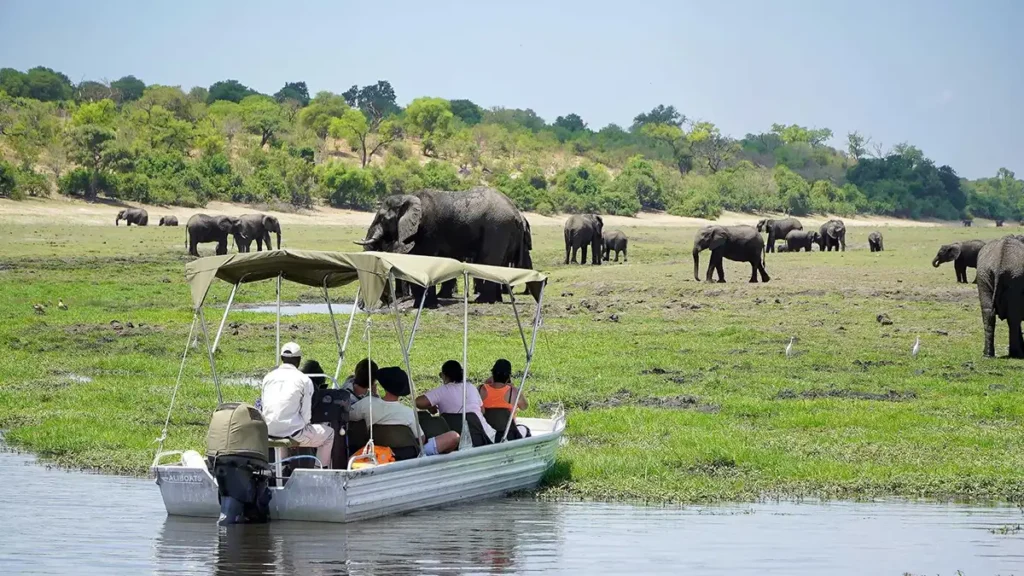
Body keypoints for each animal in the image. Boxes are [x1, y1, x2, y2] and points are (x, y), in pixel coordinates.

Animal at [356, 187, 530, 307]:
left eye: (383, 219)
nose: (362, 307)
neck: (408, 197)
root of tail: (516, 213)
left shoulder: (427, 227)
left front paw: (426, 304)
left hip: (497, 228)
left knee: (489, 260)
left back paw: (482, 301)